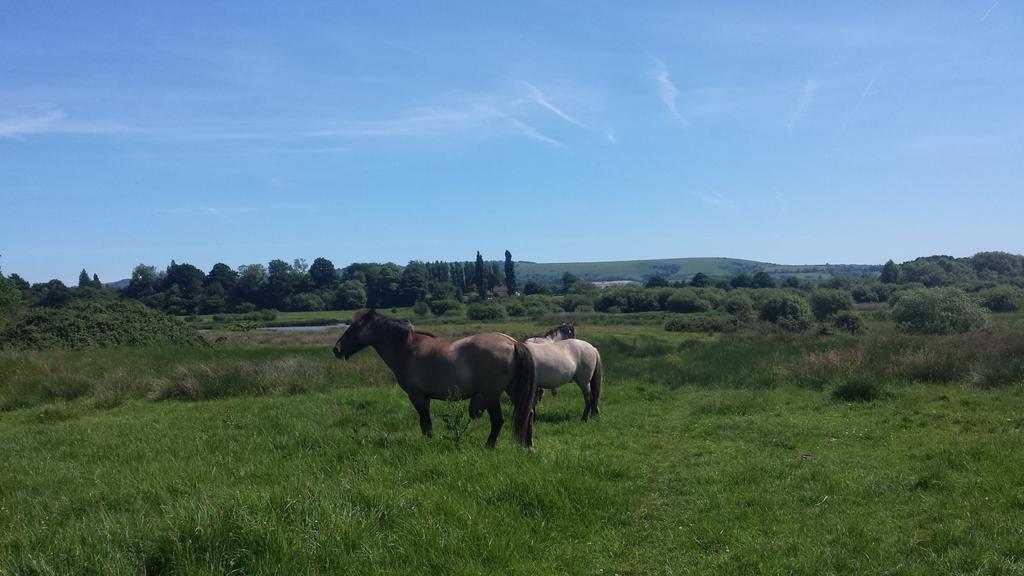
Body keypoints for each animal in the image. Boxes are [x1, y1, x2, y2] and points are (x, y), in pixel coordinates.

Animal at [333, 309, 538, 448]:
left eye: (355, 328)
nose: (337, 349)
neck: (407, 349)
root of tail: (512, 342)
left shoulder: (417, 396)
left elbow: (425, 423)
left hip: (491, 394)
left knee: (498, 420)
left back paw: (489, 446)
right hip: (512, 390)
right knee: (527, 414)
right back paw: (527, 446)